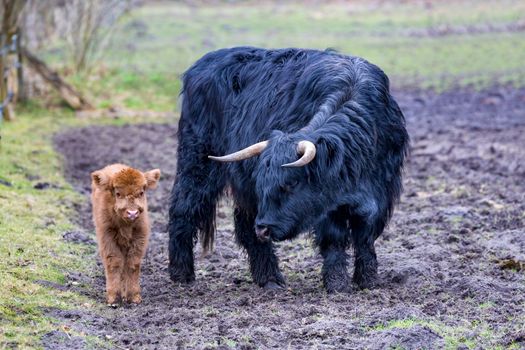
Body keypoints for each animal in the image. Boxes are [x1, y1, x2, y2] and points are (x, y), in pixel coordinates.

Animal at [90, 163, 160, 304]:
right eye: (118, 193)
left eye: (141, 192)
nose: (132, 213)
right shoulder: (107, 238)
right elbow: (114, 262)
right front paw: (113, 297)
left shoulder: (140, 237)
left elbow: (133, 263)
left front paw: (133, 296)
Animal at [170, 46, 408, 292]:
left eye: (291, 183)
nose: (264, 229)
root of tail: (201, 64)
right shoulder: (327, 206)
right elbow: (334, 239)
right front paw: (337, 285)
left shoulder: (379, 194)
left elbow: (365, 237)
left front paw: (368, 281)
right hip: (198, 163)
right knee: (184, 208)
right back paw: (182, 273)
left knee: (245, 225)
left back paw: (268, 278)